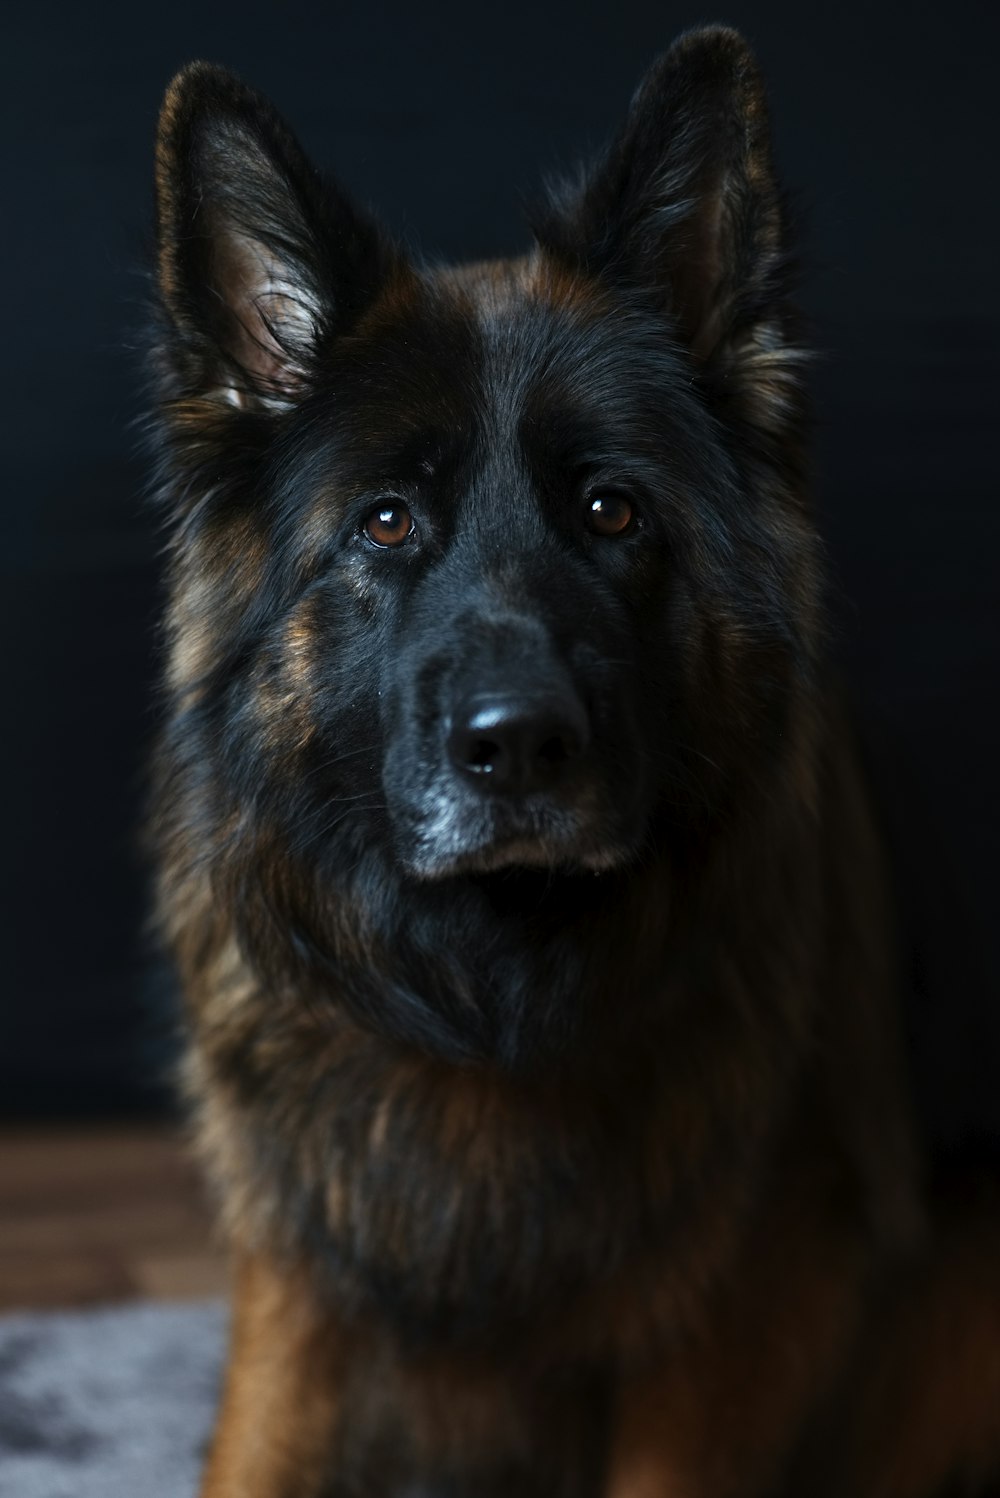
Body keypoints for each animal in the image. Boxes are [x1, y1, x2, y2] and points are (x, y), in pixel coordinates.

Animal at [148, 26, 999, 1498]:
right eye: (385, 523)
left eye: (612, 510)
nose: (518, 748)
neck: (488, 998)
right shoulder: (308, 1271)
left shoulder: (722, 1316)